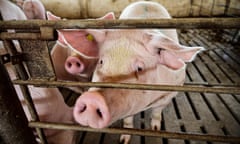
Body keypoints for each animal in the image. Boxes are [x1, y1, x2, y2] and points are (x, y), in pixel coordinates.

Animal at [73, 1, 204, 144]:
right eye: (101, 61)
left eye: (140, 68)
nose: (92, 98)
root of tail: (147, 2)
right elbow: (127, 120)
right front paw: (124, 140)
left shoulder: (169, 94)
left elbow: (157, 112)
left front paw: (155, 129)